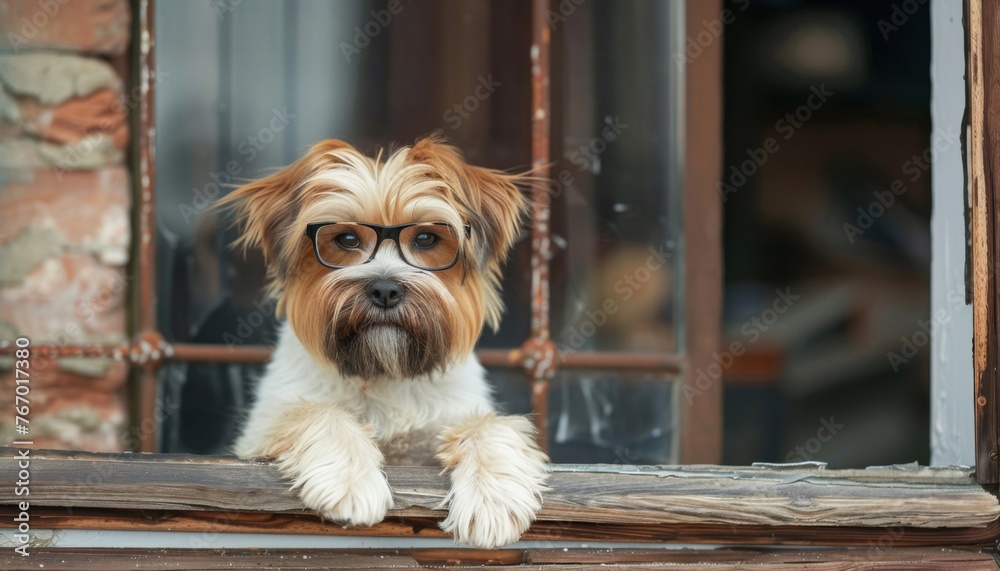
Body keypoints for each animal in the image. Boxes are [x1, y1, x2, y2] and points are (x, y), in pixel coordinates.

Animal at [224, 135, 552, 548]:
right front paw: (349, 481)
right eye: (346, 238)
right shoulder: (259, 434)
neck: (385, 371)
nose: (384, 289)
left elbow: (488, 426)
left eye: (426, 238)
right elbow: (313, 412)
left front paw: (493, 498)